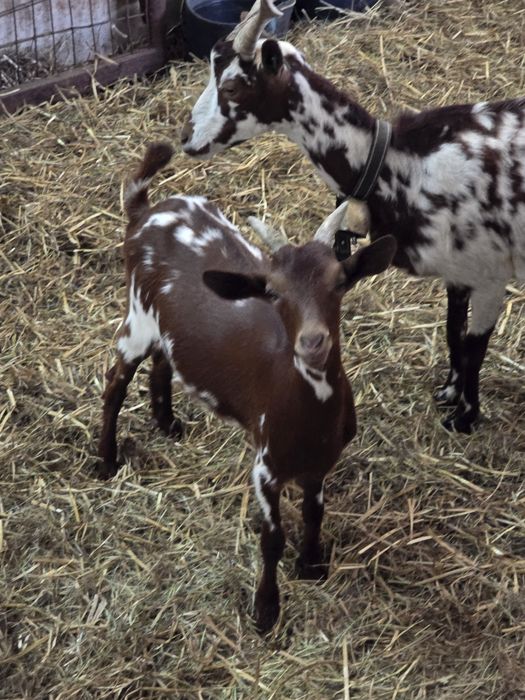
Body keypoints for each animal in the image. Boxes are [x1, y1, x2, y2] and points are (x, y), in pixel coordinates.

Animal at [97, 142, 396, 631]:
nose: (313, 343)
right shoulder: (265, 467)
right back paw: (104, 459)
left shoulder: (321, 461)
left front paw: (312, 565)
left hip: (166, 326)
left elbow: (314, 512)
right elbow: (271, 538)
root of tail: (145, 210)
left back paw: (167, 422)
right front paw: (266, 610)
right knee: (115, 383)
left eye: (340, 282)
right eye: (272, 291)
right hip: (137, 316)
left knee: (164, 360)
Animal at [180, 0, 525, 434]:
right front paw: (449, 393)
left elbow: (475, 345)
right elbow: (452, 331)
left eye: (230, 88)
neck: (400, 165)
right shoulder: (459, 270)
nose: (186, 139)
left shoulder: (490, 274)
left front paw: (464, 417)